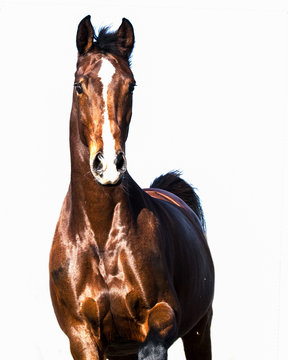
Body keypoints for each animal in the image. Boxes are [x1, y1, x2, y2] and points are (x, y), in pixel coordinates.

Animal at [50, 14, 214, 360]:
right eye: (78, 85)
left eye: (131, 85)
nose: (109, 165)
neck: (101, 238)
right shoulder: (81, 335)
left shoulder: (164, 313)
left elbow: (152, 346)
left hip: (199, 329)